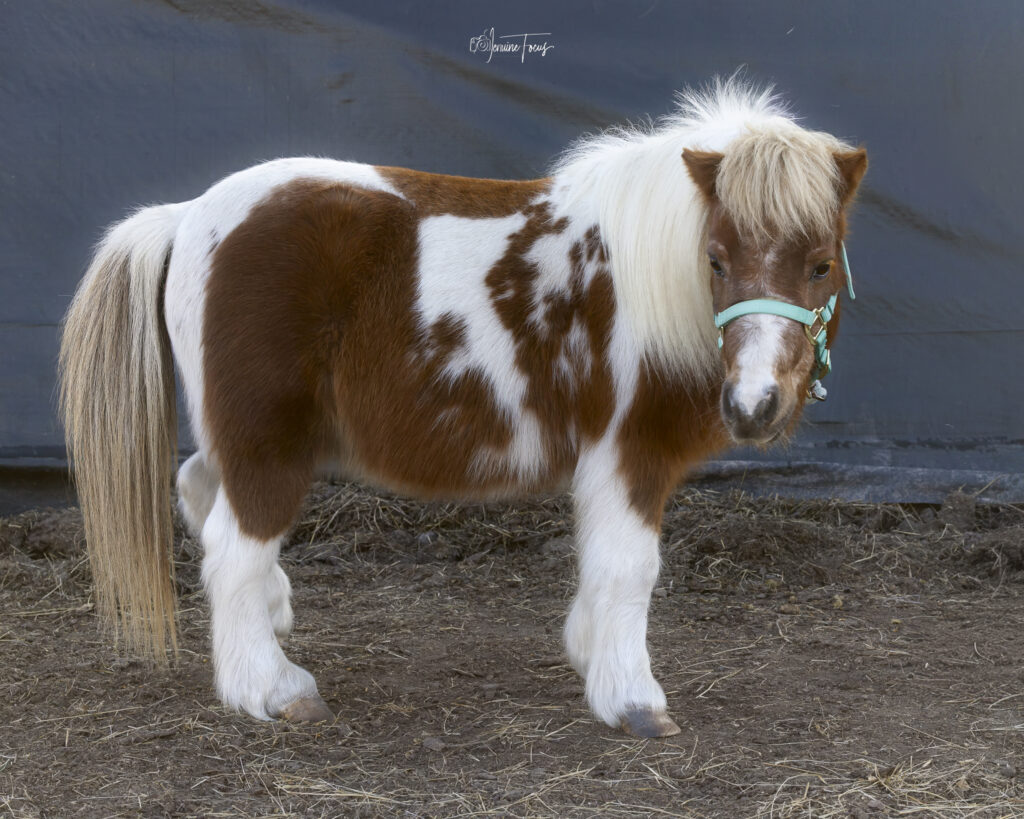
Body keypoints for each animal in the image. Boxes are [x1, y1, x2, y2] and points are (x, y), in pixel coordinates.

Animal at [59, 79, 866, 738]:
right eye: (717, 260)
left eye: (821, 263)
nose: (755, 404)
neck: (644, 279)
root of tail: (188, 215)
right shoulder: (629, 451)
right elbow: (629, 568)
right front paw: (632, 700)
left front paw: (589, 653)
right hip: (268, 441)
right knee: (233, 544)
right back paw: (272, 690)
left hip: (246, 434)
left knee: (199, 486)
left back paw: (275, 609)